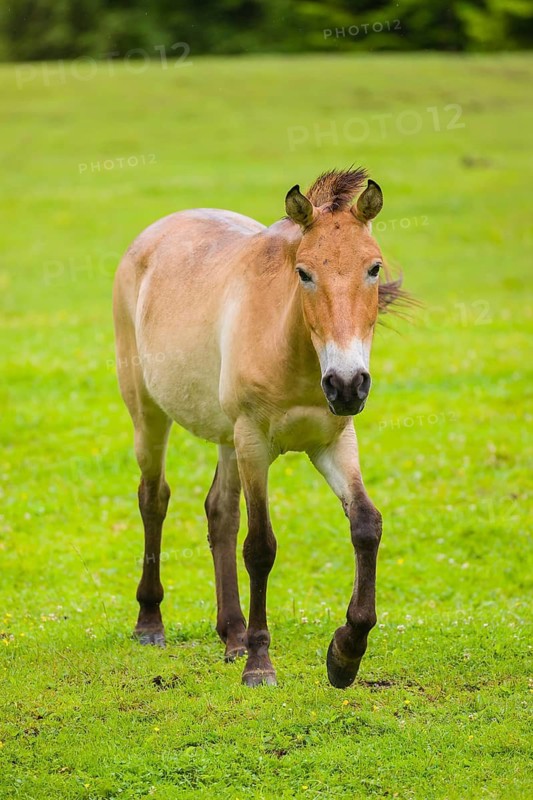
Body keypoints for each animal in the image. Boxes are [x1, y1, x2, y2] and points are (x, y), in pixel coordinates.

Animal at [113, 167, 405, 688]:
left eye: (373, 268)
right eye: (304, 272)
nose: (347, 384)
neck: (295, 355)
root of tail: (151, 235)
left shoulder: (333, 442)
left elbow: (366, 525)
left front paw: (345, 654)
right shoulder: (254, 442)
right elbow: (261, 547)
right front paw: (260, 663)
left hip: (227, 440)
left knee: (220, 513)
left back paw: (232, 635)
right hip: (150, 413)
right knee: (154, 499)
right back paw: (151, 622)